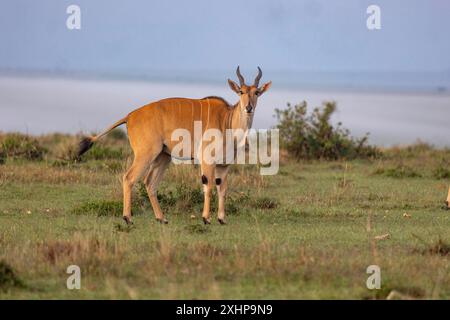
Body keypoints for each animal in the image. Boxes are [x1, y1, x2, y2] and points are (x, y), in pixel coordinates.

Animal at [78, 66, 270, 224]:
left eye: (257, 92)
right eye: (241, 91)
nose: (249, 108)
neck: (227, 120)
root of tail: (130, 116)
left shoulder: (224, 165)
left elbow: (222, 189)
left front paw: (222, 219)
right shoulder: (207, 161)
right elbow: (208, 187)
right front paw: (206, 218)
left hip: (163, 156)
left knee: (150, 183)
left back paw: (161, 218)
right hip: (146, 154)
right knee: (129, 177)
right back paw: (128, 218)